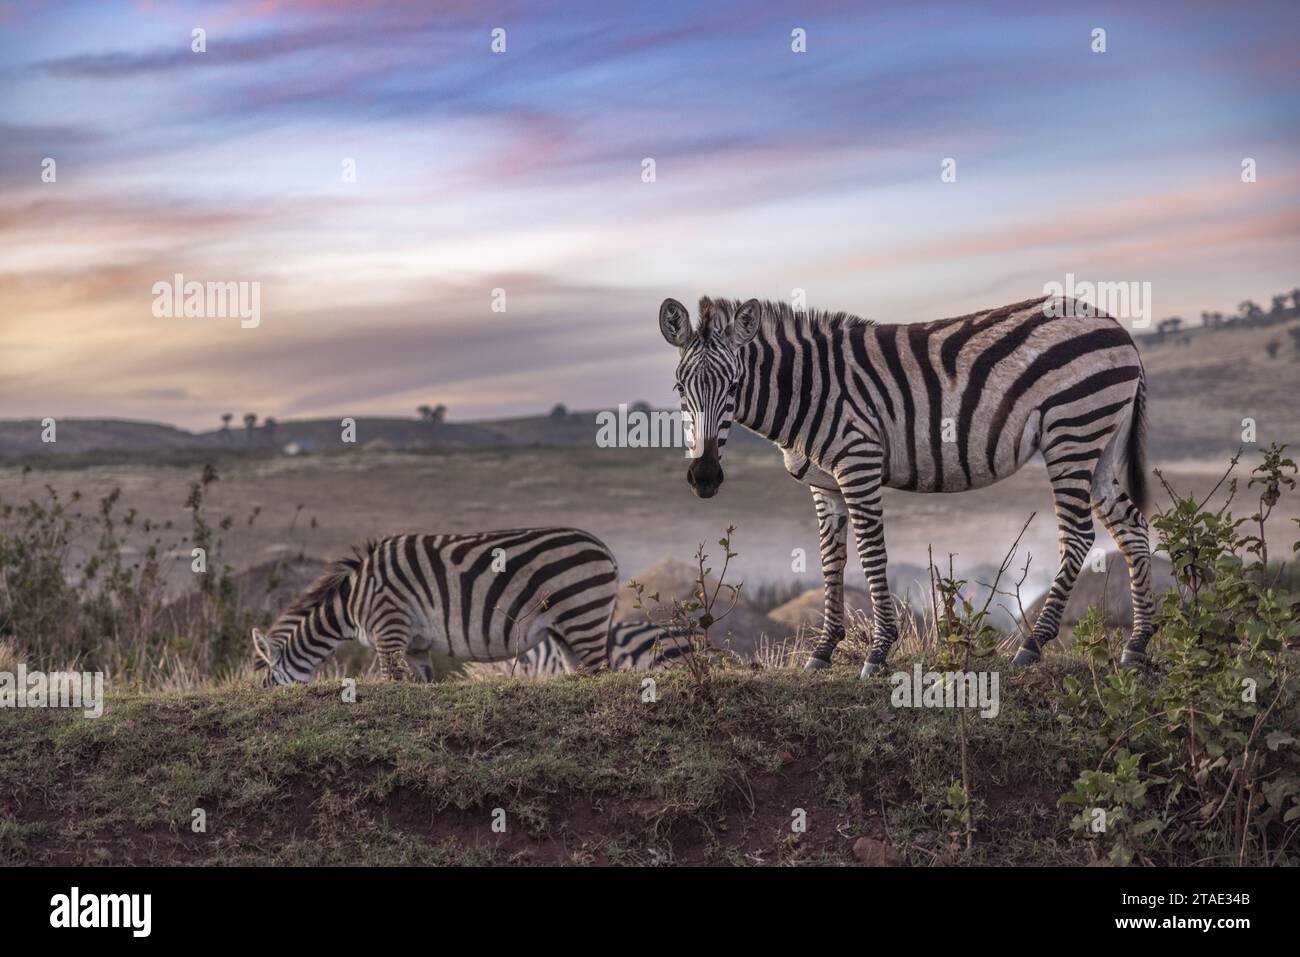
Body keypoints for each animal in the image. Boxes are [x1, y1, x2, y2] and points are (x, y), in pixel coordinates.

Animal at [256, 527, 621, 686]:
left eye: (269, 684)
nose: (265, 694)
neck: (351, 602)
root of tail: (605, 549)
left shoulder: (389, 628)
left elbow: (391, 681)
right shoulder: (415, 645)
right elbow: (422, 684)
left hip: (583, 613)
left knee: (601, 672)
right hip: (566, 629)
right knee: (582, 672)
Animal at [660, 295, 1149, 676]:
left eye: (734, 385)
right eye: (679, 388)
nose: (704, 477)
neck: (806, 390)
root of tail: (1115, 325)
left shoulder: (858, 464)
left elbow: (871, 554)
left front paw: (878, 652)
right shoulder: (823, 486)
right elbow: (830, 560)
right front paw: (823, 649)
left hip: (1073, 432)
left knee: (1079, 535)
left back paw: (1033, 645)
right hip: (1099, 444)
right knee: (1134, 529)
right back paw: (1136, 647)